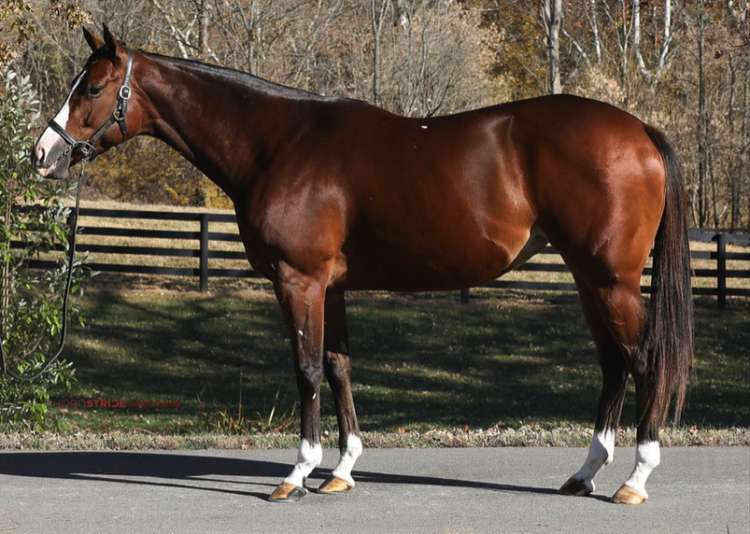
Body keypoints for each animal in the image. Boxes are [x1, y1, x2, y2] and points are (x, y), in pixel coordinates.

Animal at [32, 25, 693, 505]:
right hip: (589, 280)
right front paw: (341, 470)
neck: (279, 143)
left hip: (611, 281)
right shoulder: (332, 287)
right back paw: (585, 473)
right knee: (613, 363)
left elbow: (306, 369)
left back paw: (635, 480)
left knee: (644, 360)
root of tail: (639, 129)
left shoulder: (298, 280)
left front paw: (296, 475)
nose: (43, 154)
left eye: (91, 89)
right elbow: (339, 367)